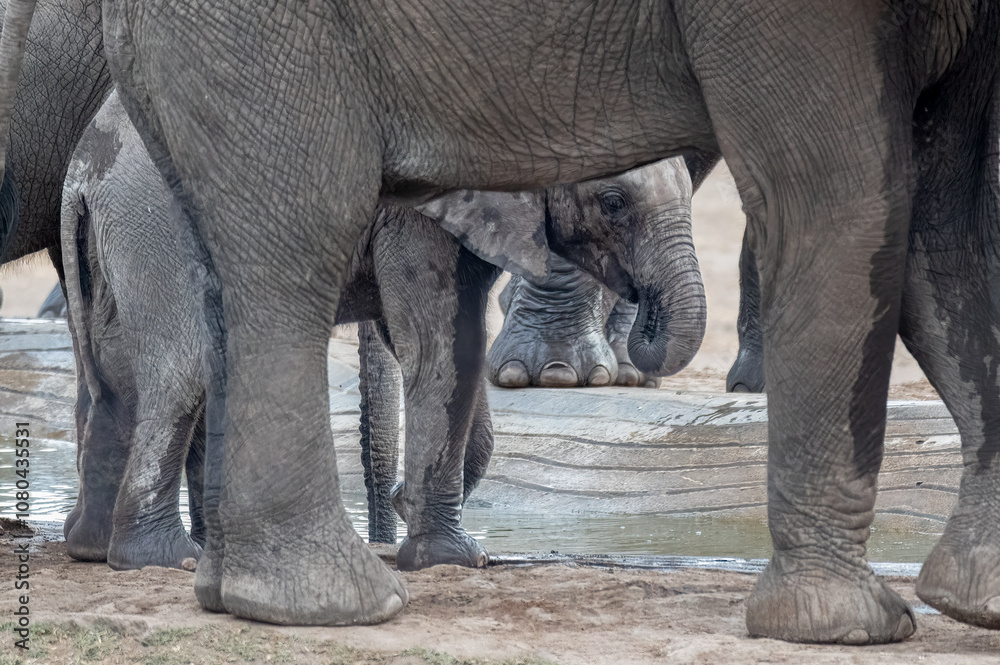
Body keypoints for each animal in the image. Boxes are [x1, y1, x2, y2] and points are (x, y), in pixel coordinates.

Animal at [58, 88, 704, 570]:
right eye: (614, 201)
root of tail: (82, 173)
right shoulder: (420, 206)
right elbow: (440, 350)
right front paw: (453, 558)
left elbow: (432, 344)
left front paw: (411, 511)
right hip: (156, 219)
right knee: (183, 368)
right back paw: (165, 558)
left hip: (116, 236)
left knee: (116, 376)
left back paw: (94, 547)